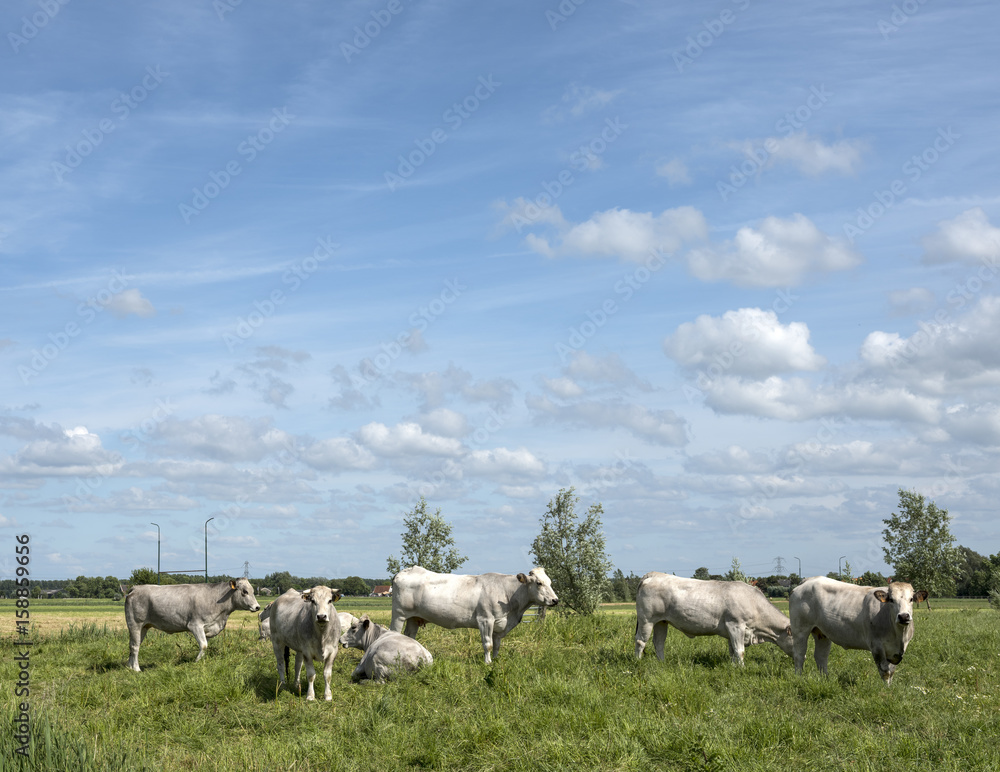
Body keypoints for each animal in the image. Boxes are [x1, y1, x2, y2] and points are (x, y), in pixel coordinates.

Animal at [124, 580, 262, 668]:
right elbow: (204, 645)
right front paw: (196, 662)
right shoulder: (195, 625)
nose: (257, 607)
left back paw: (130, 667)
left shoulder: (208, 628)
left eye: (253, 591)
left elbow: (206, 644)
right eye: (244, 591)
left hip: (144, 627)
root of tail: (135, 588)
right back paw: (136, 669)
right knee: (135, 646)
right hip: (135, 624)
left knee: (133, 645)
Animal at [388, 564, 560, 668]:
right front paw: (487, 663)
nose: (555, 600)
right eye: (539, 583)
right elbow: (488, 644)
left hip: (413, 618)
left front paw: (496, 660)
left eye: (550, 582)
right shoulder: (485, 619)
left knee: (410, 636)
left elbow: (497, 645)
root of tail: (407, 570)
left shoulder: (500, 624)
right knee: (394, 633)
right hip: (399, 614)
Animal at [636, 572, 792, 664]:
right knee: (640, 641)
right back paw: (638, 662)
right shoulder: (736, 625)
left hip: (661, 621)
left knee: (659, 643)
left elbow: (732, 651)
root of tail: (654, 574)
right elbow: (739, 651)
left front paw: (734, 667)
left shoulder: (732, 631)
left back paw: (662, 663)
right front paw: (742, 668)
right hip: (647, 620)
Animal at [788, 576, 928, 684]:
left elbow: (892, 671)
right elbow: (885, 671)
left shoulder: (896, 651)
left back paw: (826, 680)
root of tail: (809, 580)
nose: (903, 616)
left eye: (911, 599)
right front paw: (886, 691)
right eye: (891, 600)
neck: (899, 635)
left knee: (821, 656)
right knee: (799, 655)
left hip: (822, 633)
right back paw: (798, 678)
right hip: (800, 629)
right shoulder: (876, 645)